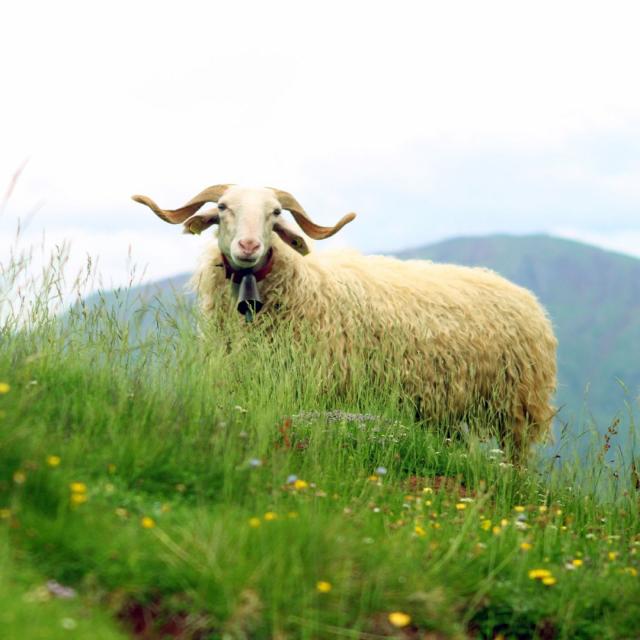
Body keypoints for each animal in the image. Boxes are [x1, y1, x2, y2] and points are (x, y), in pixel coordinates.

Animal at [132, 182, 556, 458]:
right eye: (222, 208)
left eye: (275, 213)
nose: (248, 246)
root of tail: (525, 296)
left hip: (516, 406)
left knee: (519, 458)